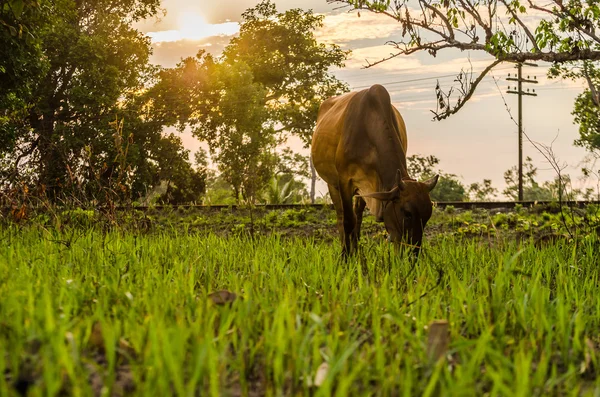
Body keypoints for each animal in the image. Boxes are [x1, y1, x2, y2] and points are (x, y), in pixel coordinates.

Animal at [312, 84, 438, 255]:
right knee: (341, 216)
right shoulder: (344, 180)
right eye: (407, 213)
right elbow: (347, 221)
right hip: (332, 183)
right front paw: (346, 257)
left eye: (428, 215)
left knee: (358, 214)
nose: (413, 253)